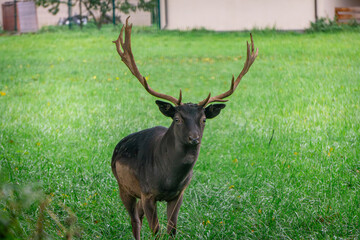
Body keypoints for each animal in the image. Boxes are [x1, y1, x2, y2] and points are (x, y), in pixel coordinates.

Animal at [111, 17, 258, 240]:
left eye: (204, 119)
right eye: (177, 118)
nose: (194, 138)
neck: (168, 178)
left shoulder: (179, 194)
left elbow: (172, 230)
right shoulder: (147, 192)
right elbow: (156, 231)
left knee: (138, 215)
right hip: (123, 185)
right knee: (134, 220)